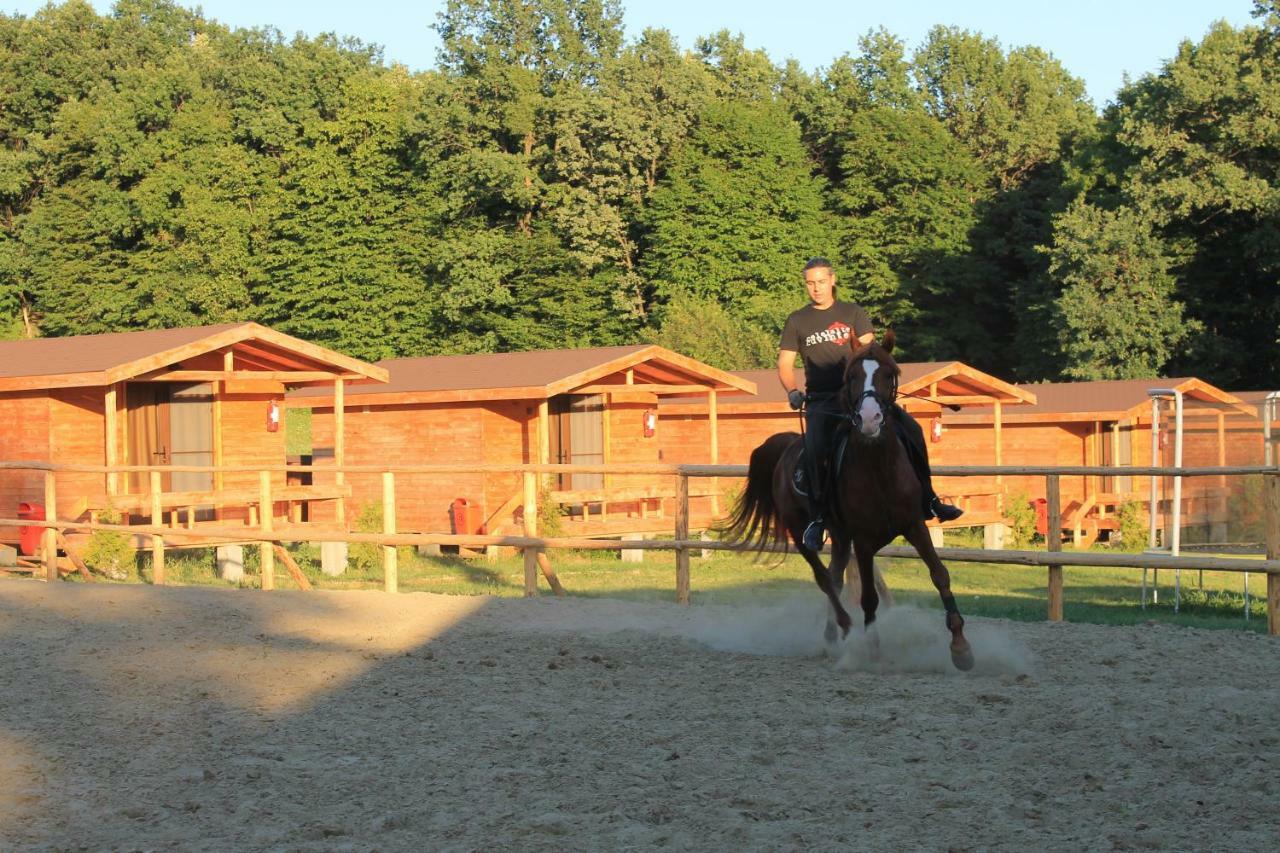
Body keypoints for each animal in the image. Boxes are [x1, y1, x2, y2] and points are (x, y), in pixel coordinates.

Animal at [721, 327, 967, 666]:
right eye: (851, 375)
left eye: (889, 373)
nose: (869, 418)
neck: (879, 468)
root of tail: (785, 446)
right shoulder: (863, 540)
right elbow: (868, 597)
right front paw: (872, 649)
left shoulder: (914, 526)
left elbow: (940, 574)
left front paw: (960, 646)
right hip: (800, 530)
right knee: (824, 579)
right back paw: (846, 629)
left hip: (839, 536)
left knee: (835, 579)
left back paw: (832, 637)